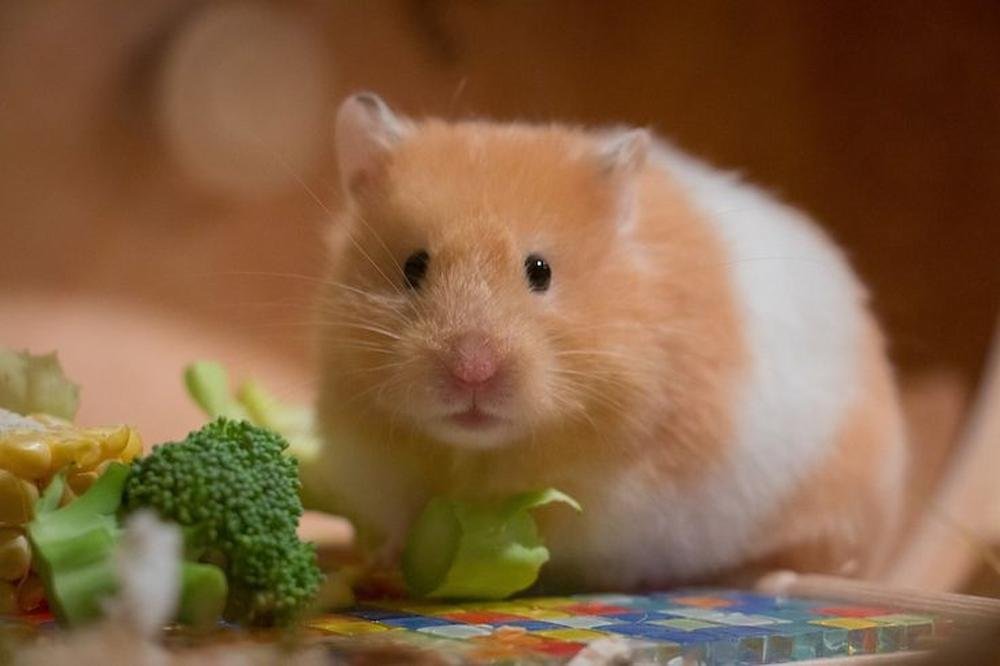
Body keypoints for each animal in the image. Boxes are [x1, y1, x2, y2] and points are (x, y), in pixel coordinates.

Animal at [311, 92, 907, 590]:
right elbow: (403, 519)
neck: (479, 455)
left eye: (540, 270)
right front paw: (391, 559)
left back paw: (768, 578)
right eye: (413, 266)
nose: (472, 372)